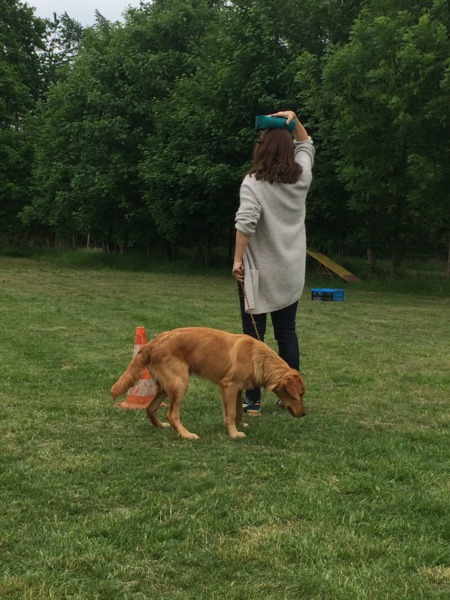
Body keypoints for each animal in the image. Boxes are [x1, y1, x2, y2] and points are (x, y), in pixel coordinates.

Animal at [111, 327, 306, 439]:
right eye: (300, 395)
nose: (304, 414)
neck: (258, 357)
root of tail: (151, 344)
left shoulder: (238, 389)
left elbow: (238, 411)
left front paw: (241, 425)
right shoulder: (229, 386)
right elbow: (231, 413)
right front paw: (234, 433)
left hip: (166, 387)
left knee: (150, 407)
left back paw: (161, 426)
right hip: (180, 384)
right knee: (172, 414)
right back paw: (186, 434)